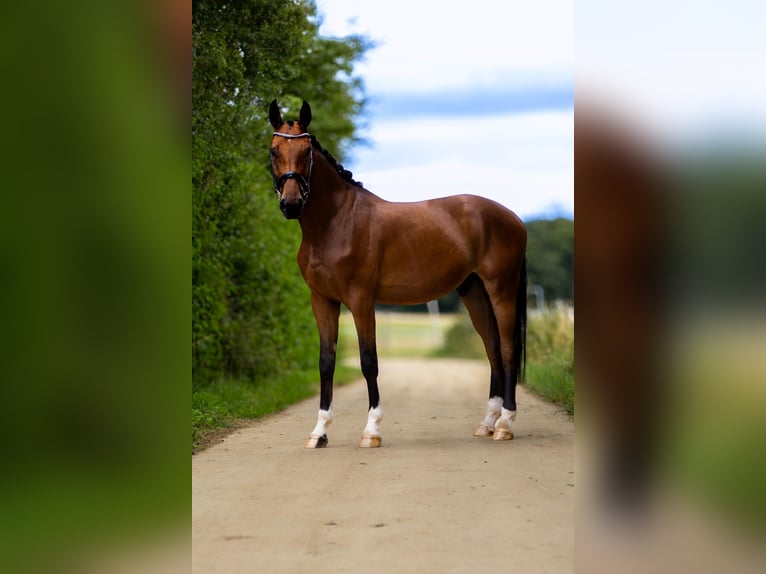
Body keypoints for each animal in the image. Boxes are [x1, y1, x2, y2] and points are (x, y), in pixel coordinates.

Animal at [268, 99, 528, 450]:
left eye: (307, 151)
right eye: (274, 151)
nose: (292, 204)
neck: (336, 223)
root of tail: (514, 218)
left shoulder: (361, 300)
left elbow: (368, 361)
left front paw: (371, 431)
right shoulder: (322, 300)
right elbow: (326, 362)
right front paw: (319, 432)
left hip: (502, 290)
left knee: (509, 350)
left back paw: (505, 424)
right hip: (475, 293)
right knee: (494, 351)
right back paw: (488, 423)